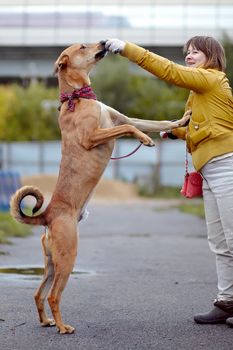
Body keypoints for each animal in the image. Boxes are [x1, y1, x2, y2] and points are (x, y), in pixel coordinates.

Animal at [10, 41, 190, 334]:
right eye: (83, 46)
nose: (106, 42)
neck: (78, 97)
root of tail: (48, 215)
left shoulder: (123, 118)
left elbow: (157, 123)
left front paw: (182, 120)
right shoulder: (94, 135)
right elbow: (131, 129)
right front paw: (145, 139)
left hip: (51, 263)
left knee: (38, 294)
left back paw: (47, 321)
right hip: (68, 257)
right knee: (53, 295)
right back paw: (63, 327)